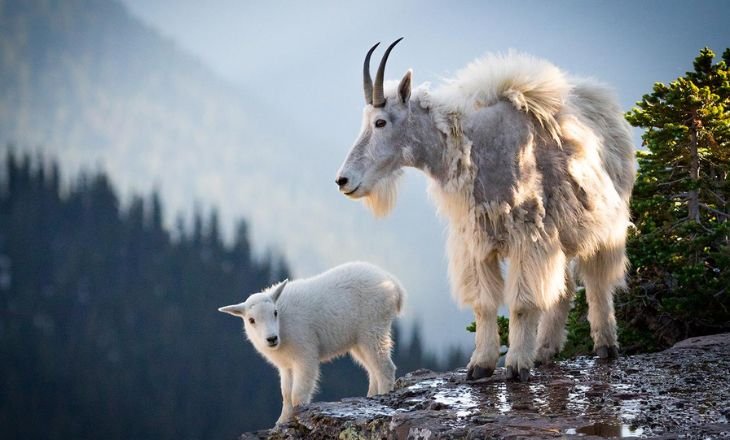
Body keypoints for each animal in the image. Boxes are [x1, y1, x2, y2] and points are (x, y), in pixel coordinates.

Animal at [219, 262, 406, 424]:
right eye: (251, 320)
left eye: (275, 312)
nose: (272, 339)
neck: (283, 326)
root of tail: (393, 284)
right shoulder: (286, 366)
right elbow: (286, 394)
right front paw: (281, 422)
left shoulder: (305, 354)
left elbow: (297, 394)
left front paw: (296, 418)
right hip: (359, 341)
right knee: (373, 369)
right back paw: (371, 397)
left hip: (373, 328)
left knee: (385, 367)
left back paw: (382, 396)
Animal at [334, 38, 632, 382]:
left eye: (380, 122)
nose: (343, 180)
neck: (472, 149)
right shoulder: (476, 242)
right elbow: (484, 303)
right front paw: (480, 365)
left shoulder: (529, 237)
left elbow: (522, 302)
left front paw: (516, 365)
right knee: (564, 286)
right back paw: (545, 350)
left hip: (606, 226)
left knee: (597, 281)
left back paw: (605, 345)